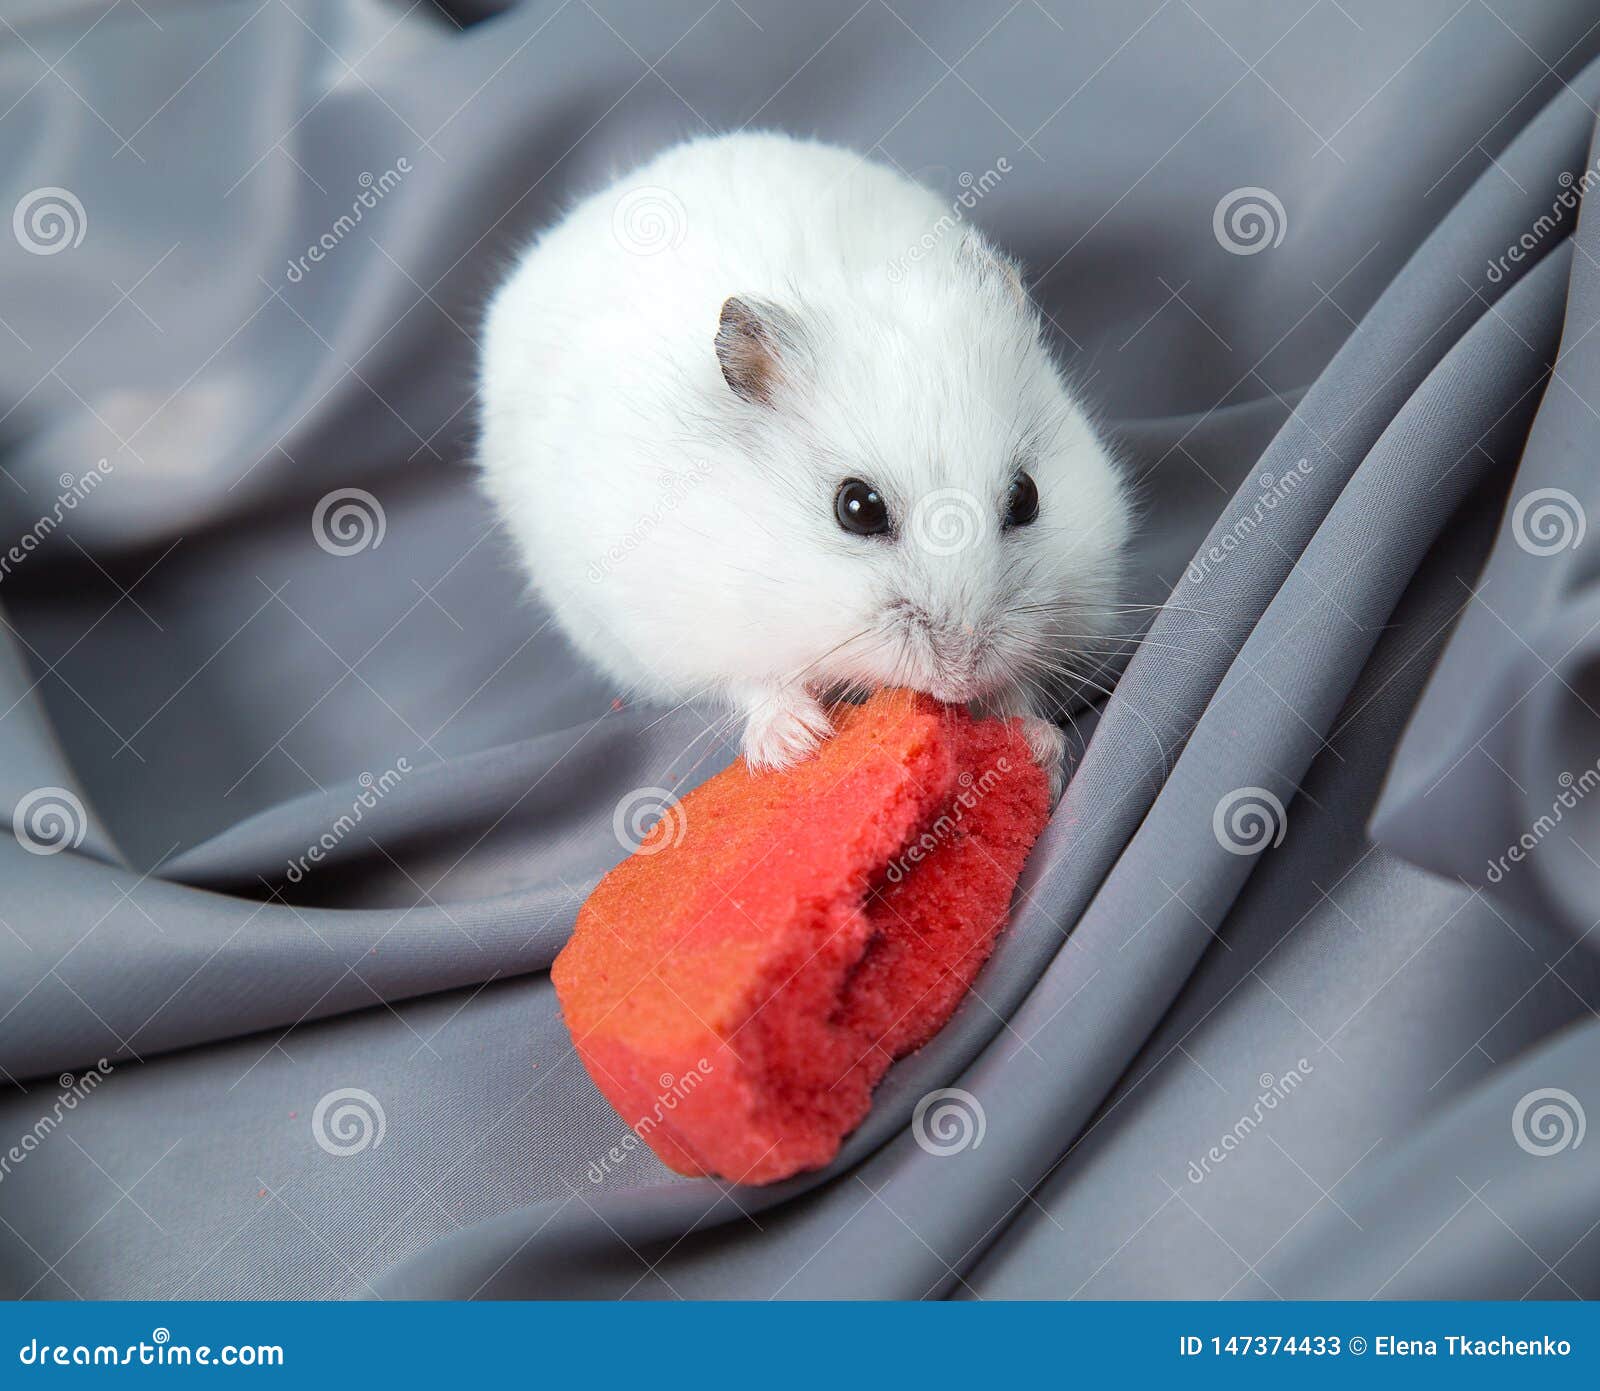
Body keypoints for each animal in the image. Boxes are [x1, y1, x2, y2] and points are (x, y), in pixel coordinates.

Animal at [478, 132, 1130, 791]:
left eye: (1026, 497)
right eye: (857, 508)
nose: (959, 677)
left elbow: (1019, 688)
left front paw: (1038, 744)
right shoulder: (690, 624)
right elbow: (753, 679)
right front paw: (799, 742)